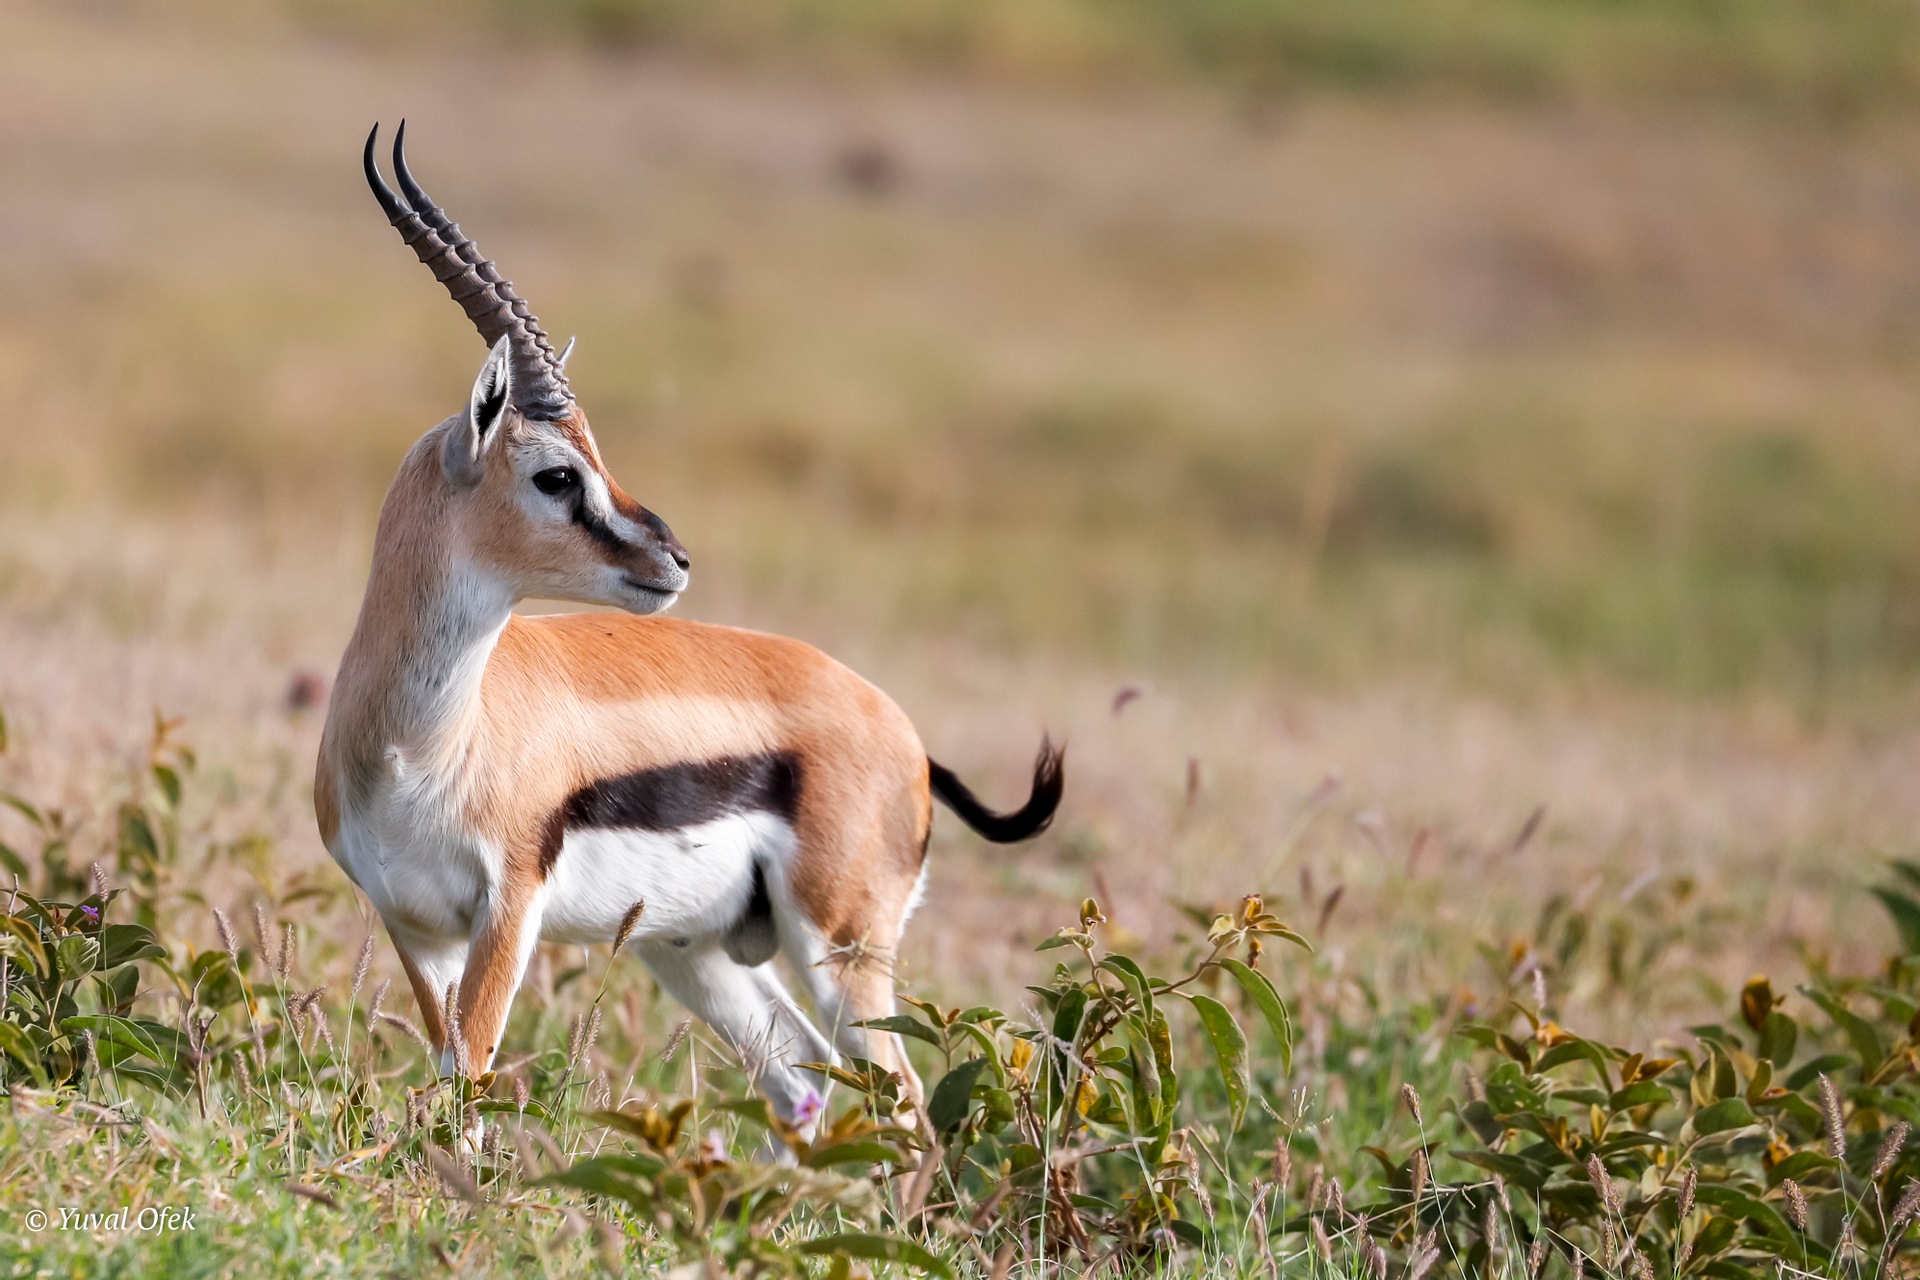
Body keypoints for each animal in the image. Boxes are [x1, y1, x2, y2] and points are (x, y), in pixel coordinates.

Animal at [314, 124, 1063, 1128]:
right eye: (558, 474)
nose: (672, 559)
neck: (426, 744)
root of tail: (904, 735)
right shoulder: (412, 927)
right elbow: (445, 1072)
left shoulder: (508, 912)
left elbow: (469, 1079)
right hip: (694, 951)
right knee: (803, 1083)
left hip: (839, 948)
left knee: (899, 1097)